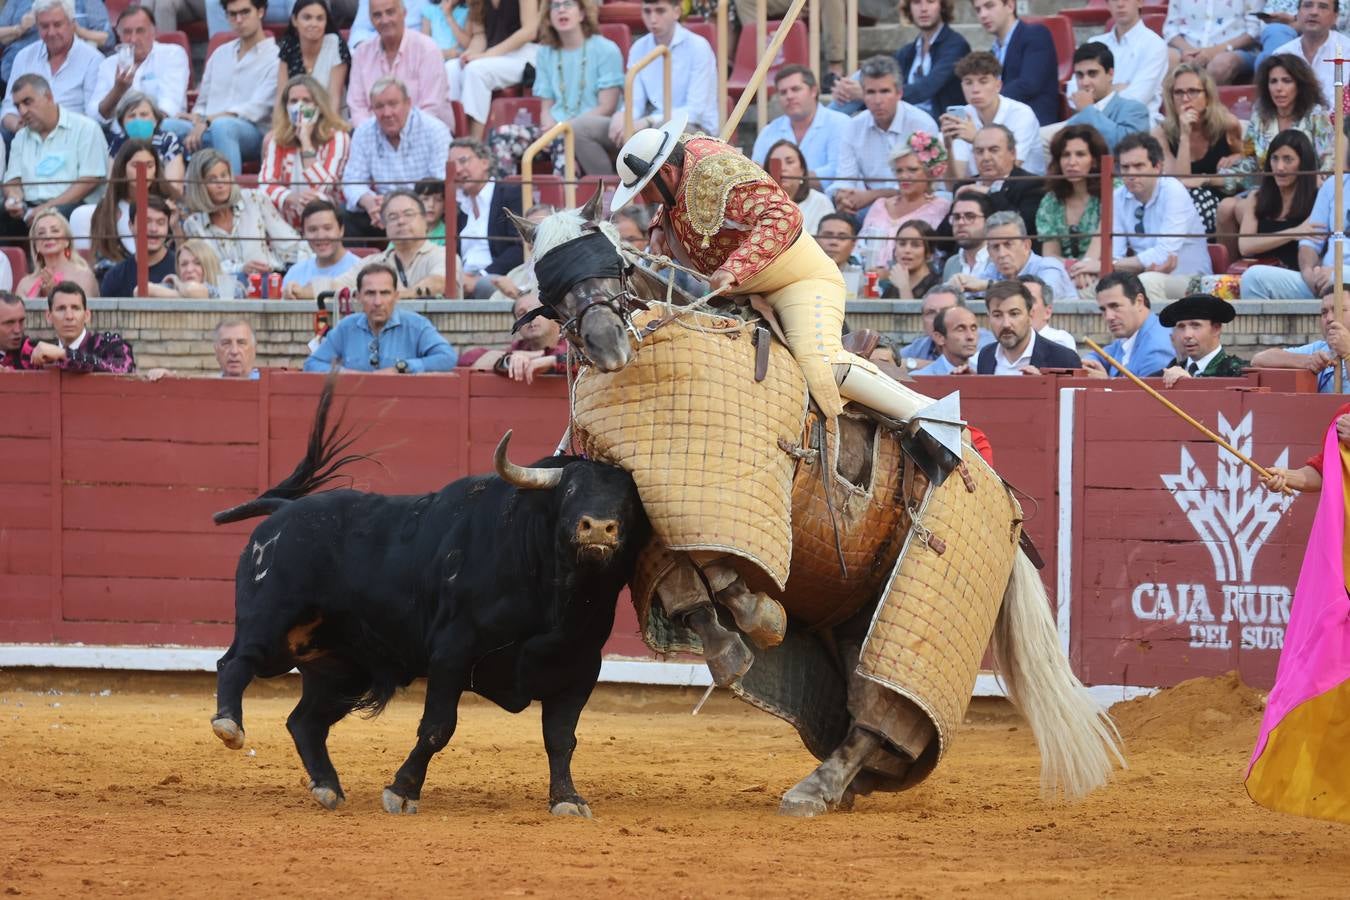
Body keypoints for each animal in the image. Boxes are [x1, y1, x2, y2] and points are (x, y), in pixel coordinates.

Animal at [210, 380, 648, 814]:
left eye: (630, 501)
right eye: (570, 490)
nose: (598, 528)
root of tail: (284, 510)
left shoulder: (580, 668)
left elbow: (561, 737)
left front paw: (568, 798)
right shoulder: (452, 653)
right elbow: (438, 727)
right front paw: (402, 791)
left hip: (341, 667)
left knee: (305, 721)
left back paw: (328, 787)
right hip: (270, 619)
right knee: (236, 661)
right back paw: (229, 725)